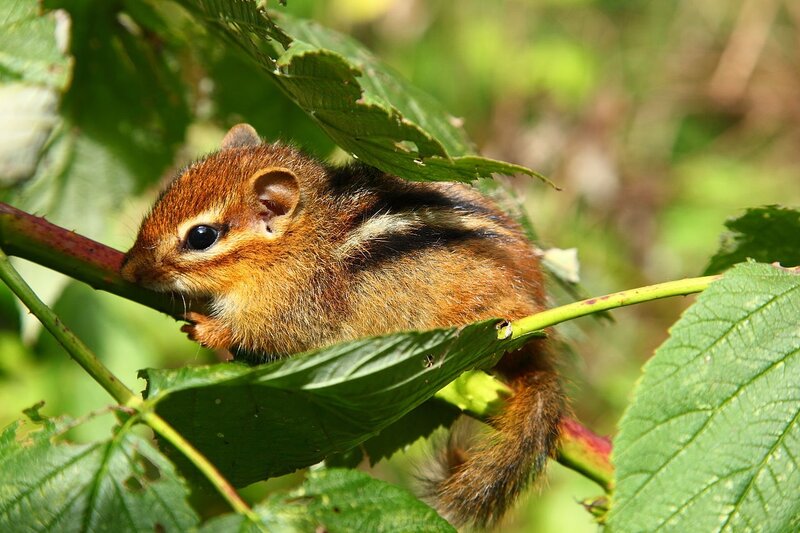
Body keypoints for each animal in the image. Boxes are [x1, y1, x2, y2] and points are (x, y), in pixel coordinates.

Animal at [121, 124, 565, 529]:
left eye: (201, 236)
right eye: (164, 195)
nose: (127, 269)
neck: (301, 240)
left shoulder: (298, 308)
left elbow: (275, 336)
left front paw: (212, 330)